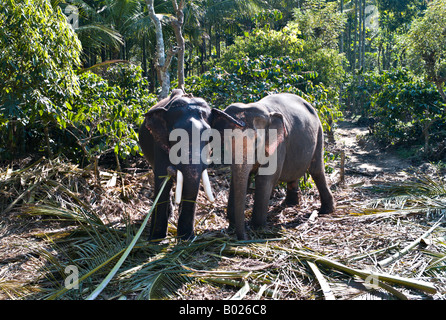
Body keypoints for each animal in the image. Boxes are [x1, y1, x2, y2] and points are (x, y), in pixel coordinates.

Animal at [139, 89, 244, 241]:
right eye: (174, 136)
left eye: (210, 137)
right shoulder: (159, 145)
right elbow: (162, 181)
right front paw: (156, 239)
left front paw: (186, 238)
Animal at [212, 92, 334, 240]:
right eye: (226, 141)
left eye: (256, 141)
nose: (244, 237)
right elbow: (238, 178)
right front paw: (232, 225)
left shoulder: (278, 144)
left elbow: (265, 177)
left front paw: (258, 227)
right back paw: (290, 204)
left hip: (319, 132)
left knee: (316, 170)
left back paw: (325, 211)